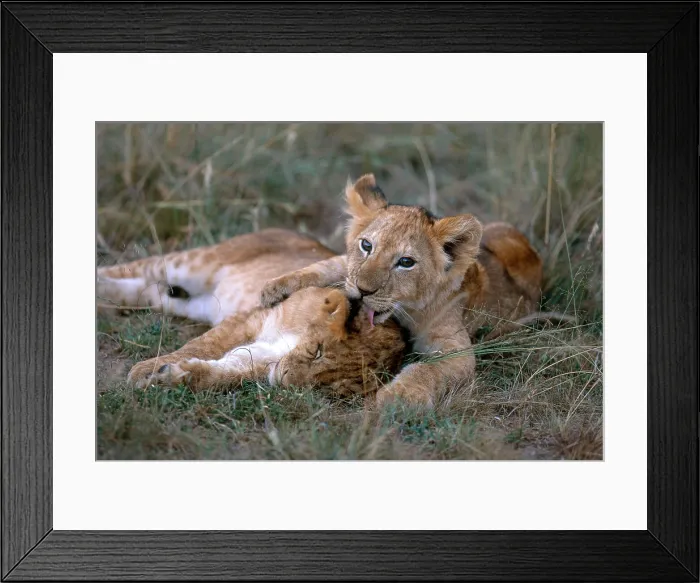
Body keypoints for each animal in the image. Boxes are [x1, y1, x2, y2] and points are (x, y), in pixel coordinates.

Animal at [260, 174, 547, 407]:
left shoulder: (458, 351)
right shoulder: (348, 269)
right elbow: (329, 266)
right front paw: (274, 288)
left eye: (406, 262)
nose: (363, 291)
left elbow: (429, 370)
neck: (406, 313)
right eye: (366, 245)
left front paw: (398, 396)